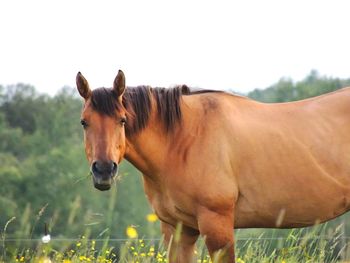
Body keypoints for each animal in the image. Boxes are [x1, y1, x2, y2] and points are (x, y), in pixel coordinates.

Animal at [75, 70, 350, 263]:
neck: (183, 139)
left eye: (122, 120)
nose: (103, 170)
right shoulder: (177, 231)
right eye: (84, 122)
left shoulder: (217, 226)